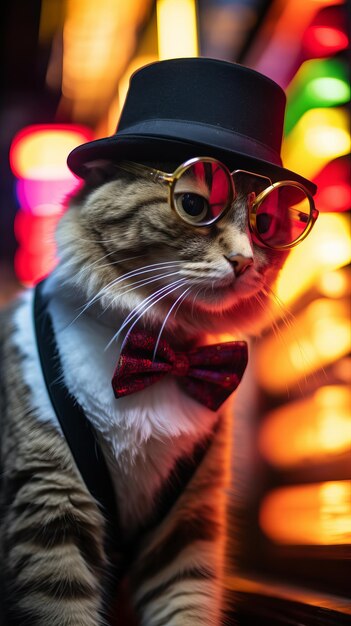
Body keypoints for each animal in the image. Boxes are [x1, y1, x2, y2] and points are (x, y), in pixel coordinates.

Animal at [0, 161, 288, 624]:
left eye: (266, 224)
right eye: (194, 205)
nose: (244, 261)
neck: (161, 355)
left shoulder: (187, 525)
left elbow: (186, 606)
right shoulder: (49, 506)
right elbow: (63, 607)